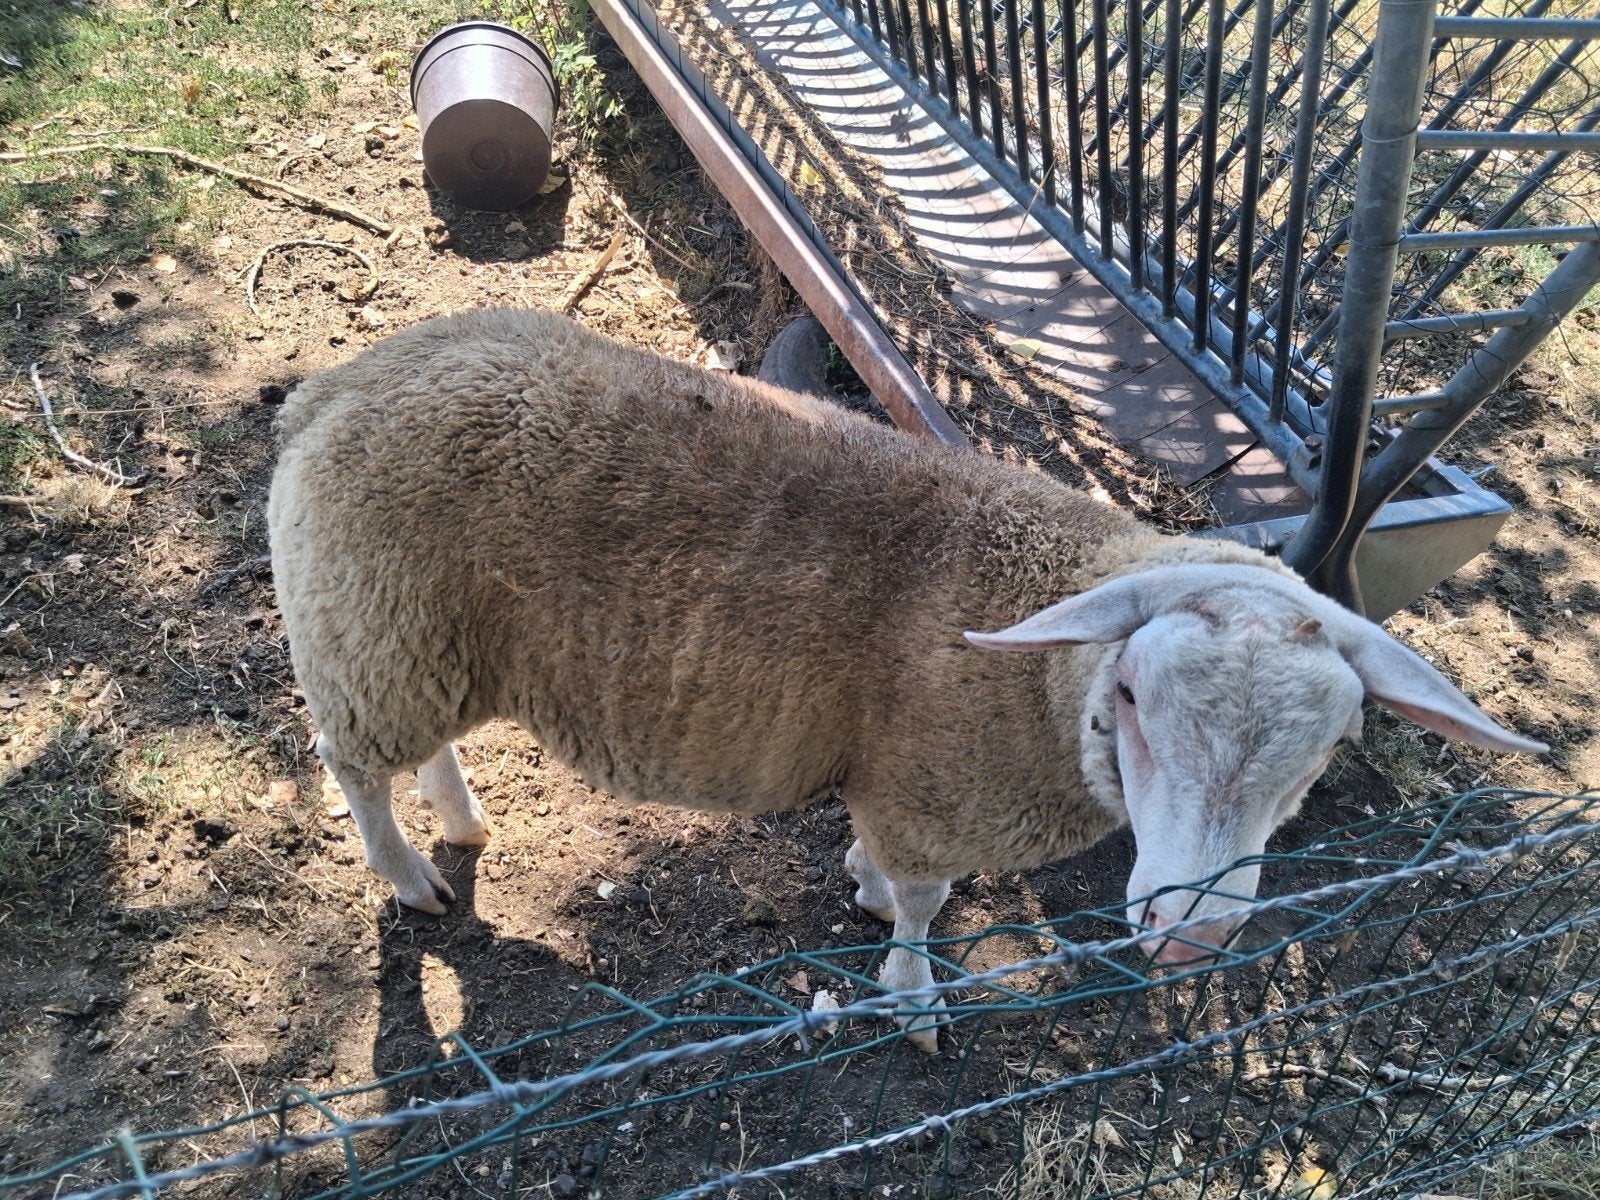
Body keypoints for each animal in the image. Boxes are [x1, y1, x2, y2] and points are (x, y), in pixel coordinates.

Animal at [267, 307, 1546, 1051]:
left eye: (1323, 752)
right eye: (1134, 702)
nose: (1190, 940)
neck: (1036, 677)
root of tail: (335, 386)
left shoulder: (900, 782)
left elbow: (882, 866)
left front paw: (863, 887)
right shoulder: (936, 793)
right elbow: (930, 910)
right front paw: (913, 990)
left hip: (419, 637)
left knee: (421, 741)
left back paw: (461, 820)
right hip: (367, 621)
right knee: (350, 763)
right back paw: (409, 876)